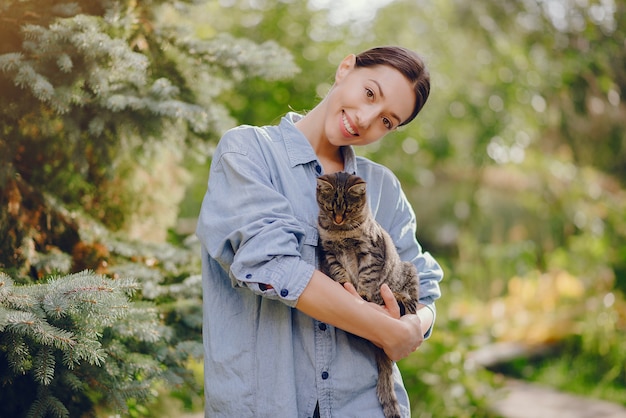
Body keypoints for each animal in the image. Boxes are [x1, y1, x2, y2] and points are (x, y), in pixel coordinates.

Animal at [312, 171, 420, 418]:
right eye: (331, 209)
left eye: (348, 210)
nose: (338, 219)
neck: (340, 232)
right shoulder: (330, 252)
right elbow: (340, 272)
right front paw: (344, 284)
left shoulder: (371, 253)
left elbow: (367, 276)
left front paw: (362, 292)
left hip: (409, 271)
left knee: (411, 305)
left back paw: (398, 299)